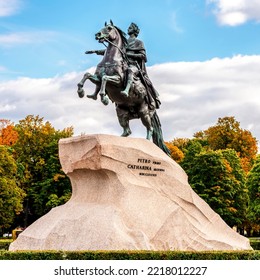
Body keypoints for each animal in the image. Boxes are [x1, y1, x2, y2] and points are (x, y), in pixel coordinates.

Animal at [76, 21, 170, 155]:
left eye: (109, 28)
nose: (97, 35)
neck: (111, 59)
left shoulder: (117, 80)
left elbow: (105, 79)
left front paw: (104, 97)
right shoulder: (97, 77)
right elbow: (87, 75)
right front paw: (81, 91)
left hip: (144, 112)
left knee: (150, 128)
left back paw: (147, 143)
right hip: (121, 113)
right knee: (127, 131)